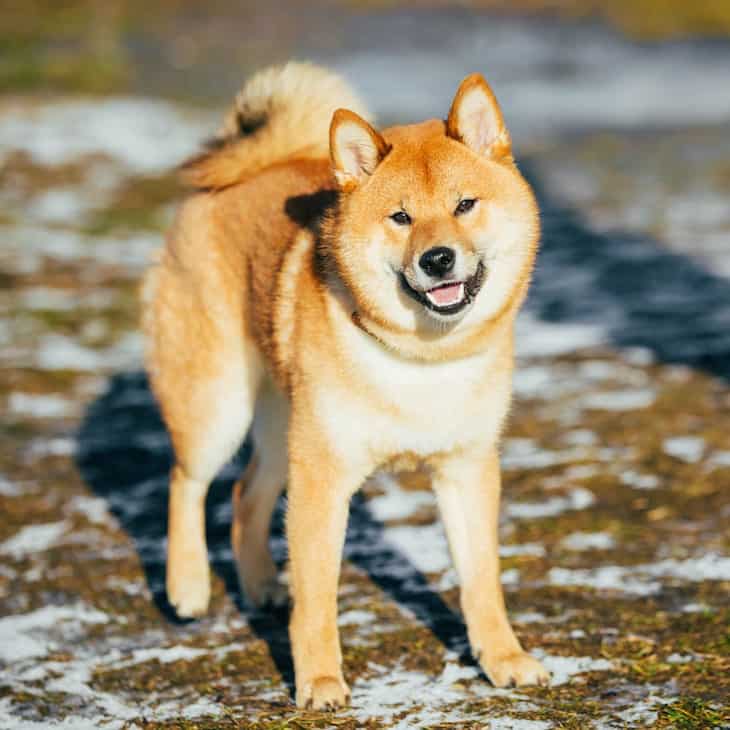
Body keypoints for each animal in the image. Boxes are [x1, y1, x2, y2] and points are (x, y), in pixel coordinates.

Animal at [142, 59, 544, 708]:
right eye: (401, 217)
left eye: (465, 204)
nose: (437, 259)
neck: (424, 355)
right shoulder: (323, 480)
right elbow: (317, 601)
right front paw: (321, 681)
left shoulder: (466, 468)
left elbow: (481, 580)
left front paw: (503, 659)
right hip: (219, 407)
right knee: (189, 481)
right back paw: (189, 586)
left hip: (283, 427)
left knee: (246, 494)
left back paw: (259, 584)